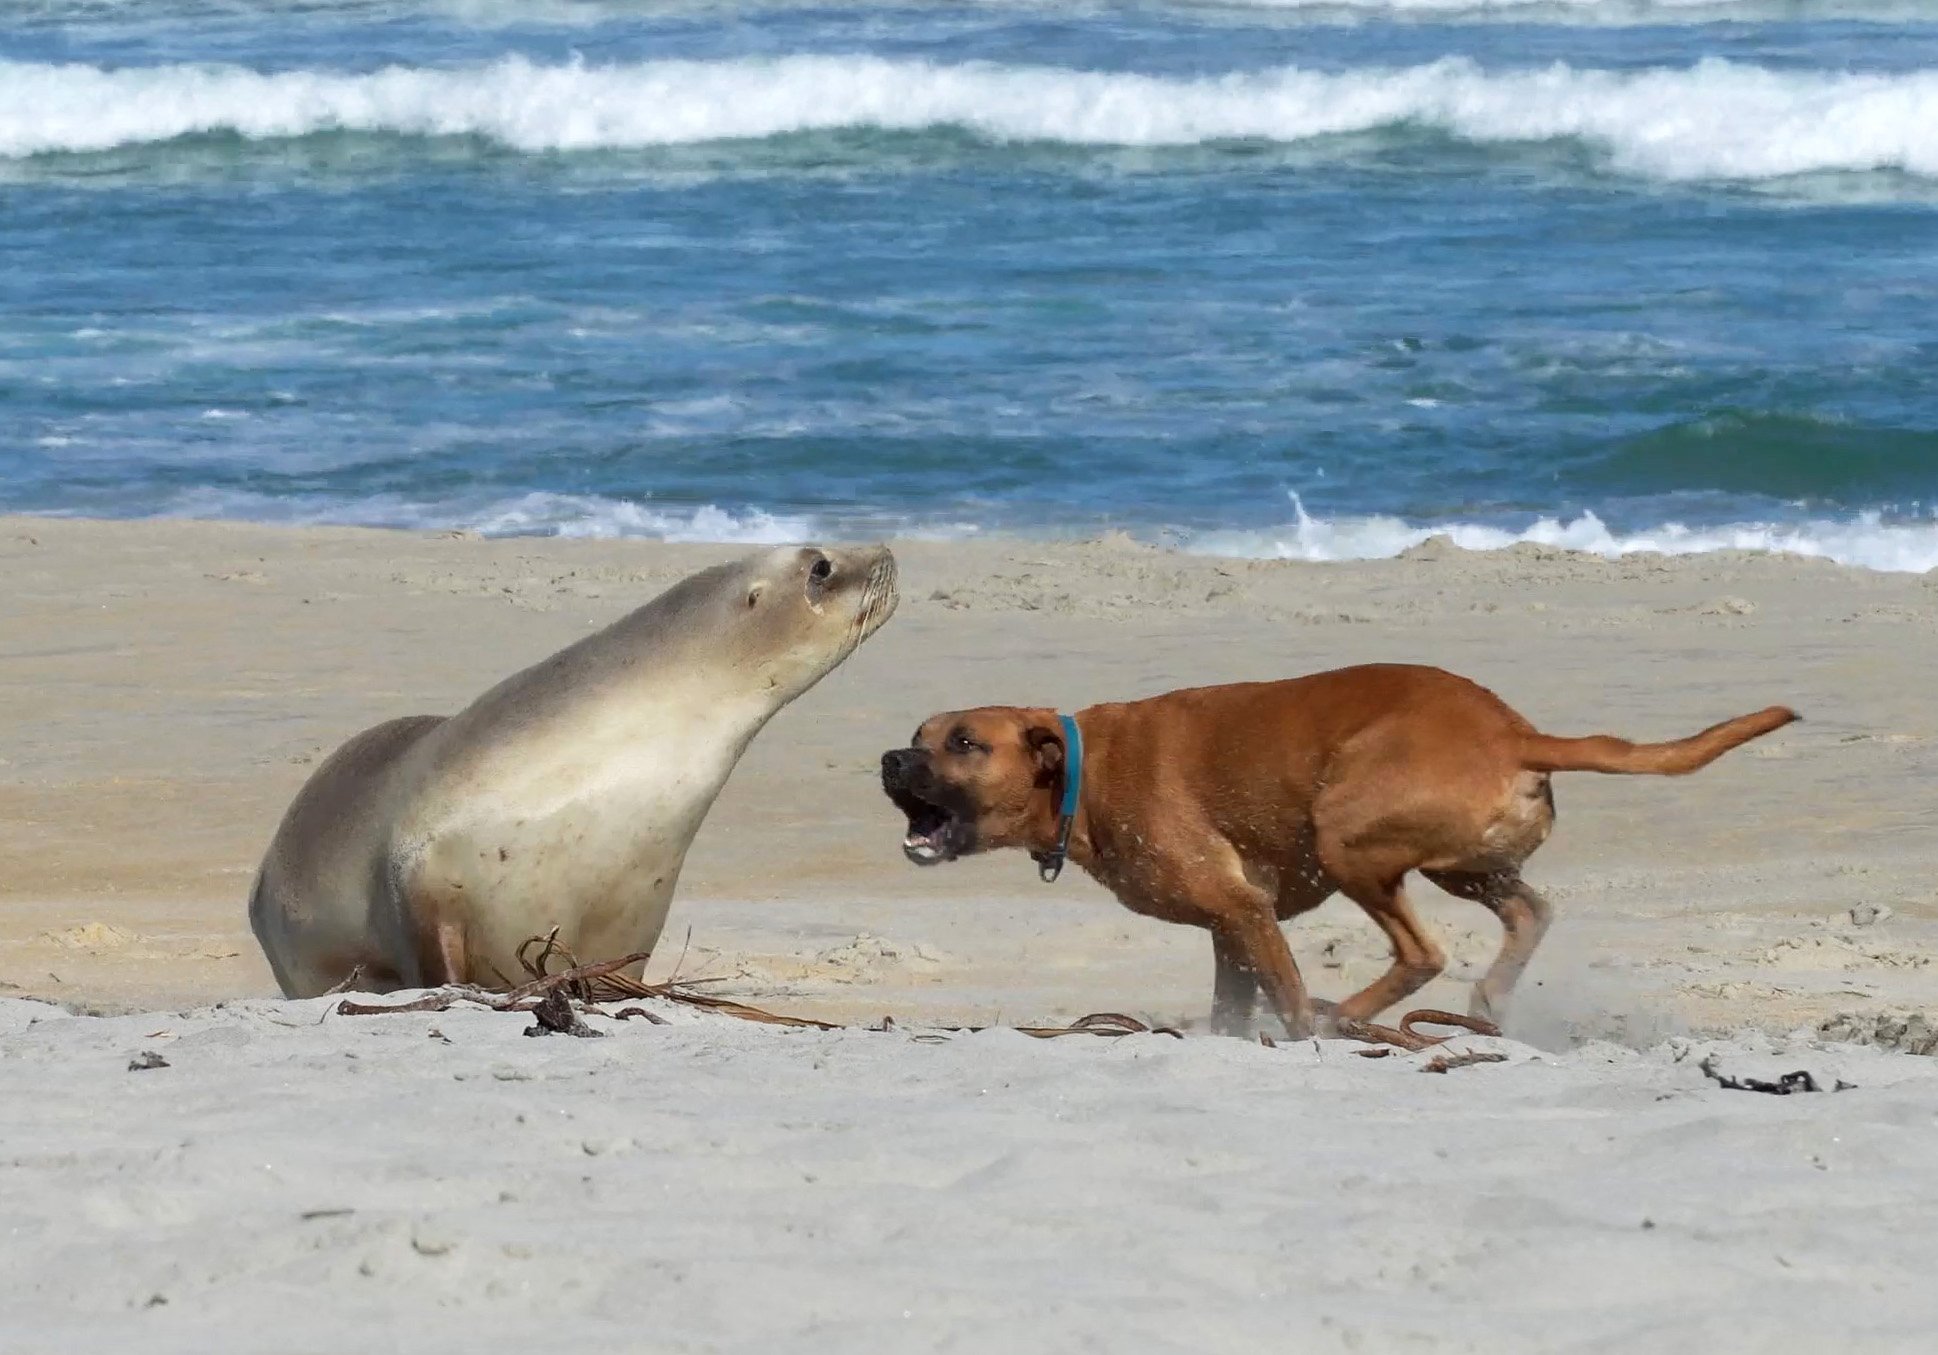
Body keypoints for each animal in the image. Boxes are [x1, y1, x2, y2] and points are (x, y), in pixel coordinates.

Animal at [887, 666, 1790, 1039]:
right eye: (918, 735)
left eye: (963, 742)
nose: (890, 760)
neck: (1080, 769)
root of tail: (1511, 731)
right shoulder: (1232, 925)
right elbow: (1234, 1003)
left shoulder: (1241, 909)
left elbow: (1284, 996)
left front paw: (1296, 1032)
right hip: (1462, 864)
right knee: (1530, 911)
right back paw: (1488, 997)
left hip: (1347, 836)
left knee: (1422, 953)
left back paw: (1349, 1016)